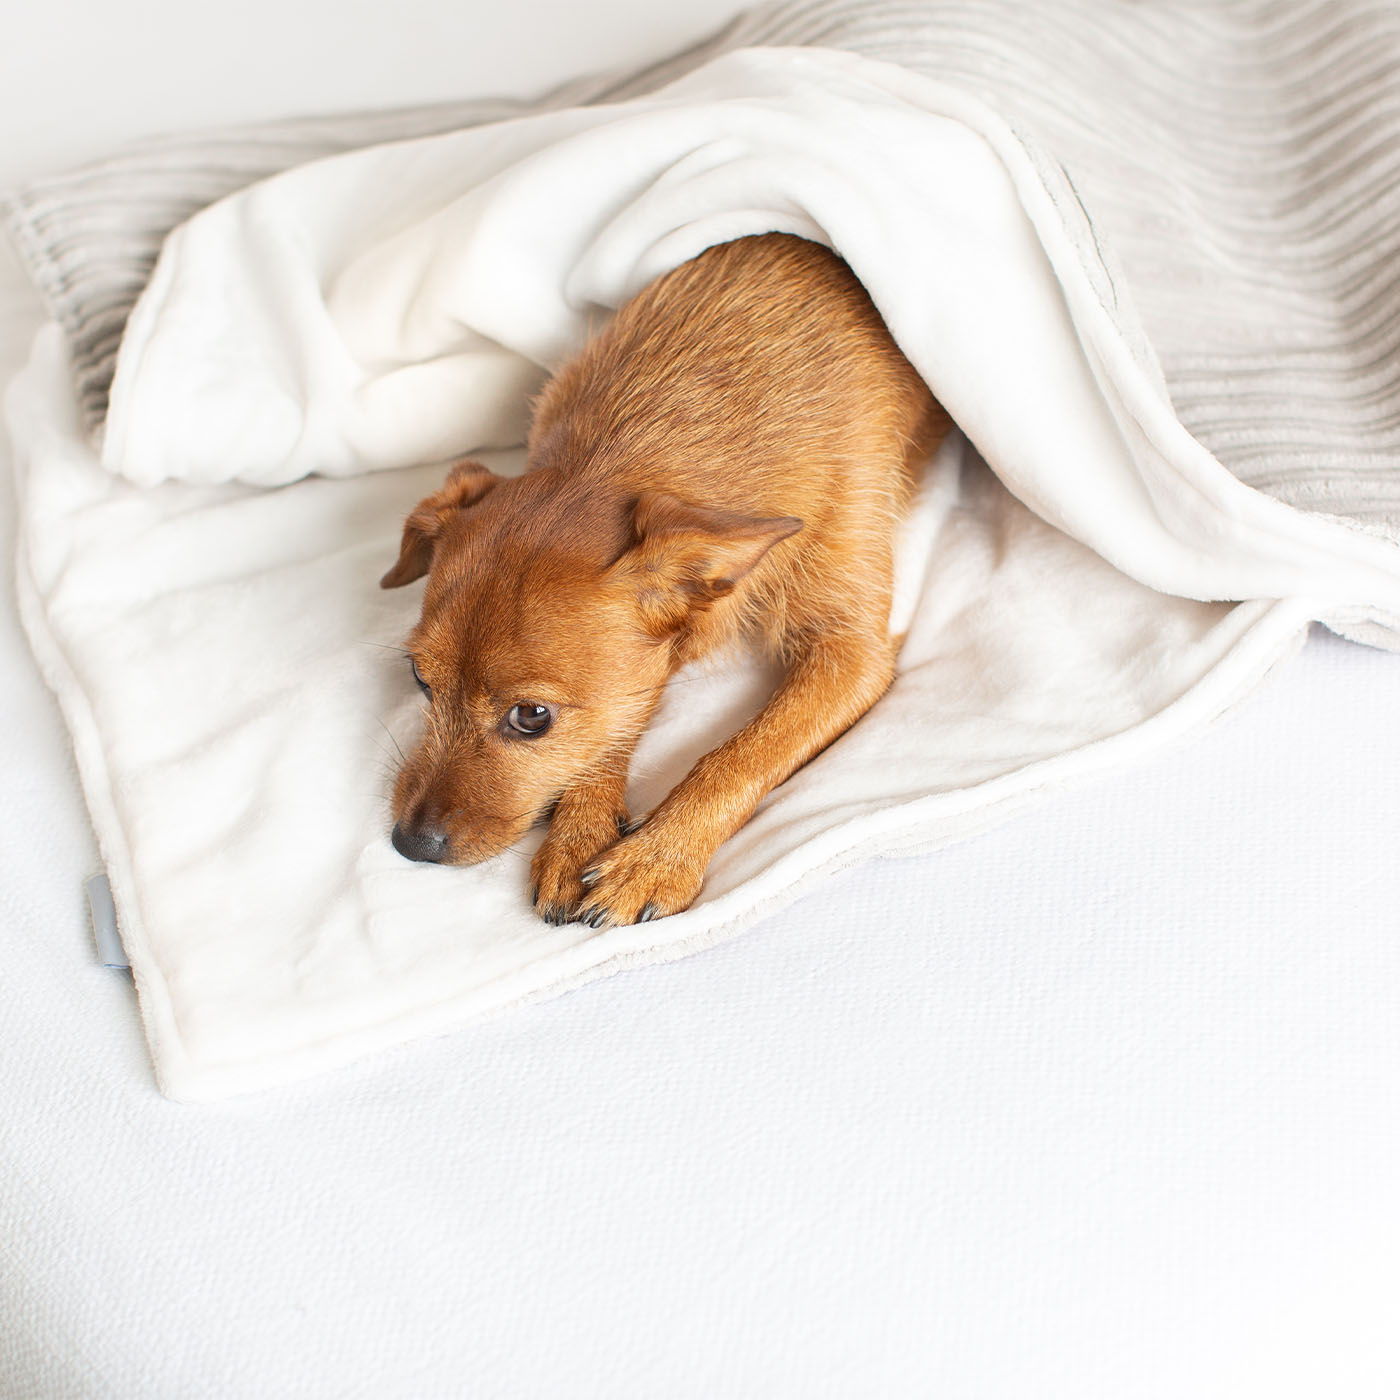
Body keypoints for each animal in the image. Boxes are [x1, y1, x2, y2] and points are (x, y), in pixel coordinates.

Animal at [380, 235, 952, 924]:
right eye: (419, 679)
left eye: (531, 717)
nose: (409, 845)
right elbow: (621, 717)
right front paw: (580, 833)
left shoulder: (852, 653)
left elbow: (741, 754)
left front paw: (654, 858)